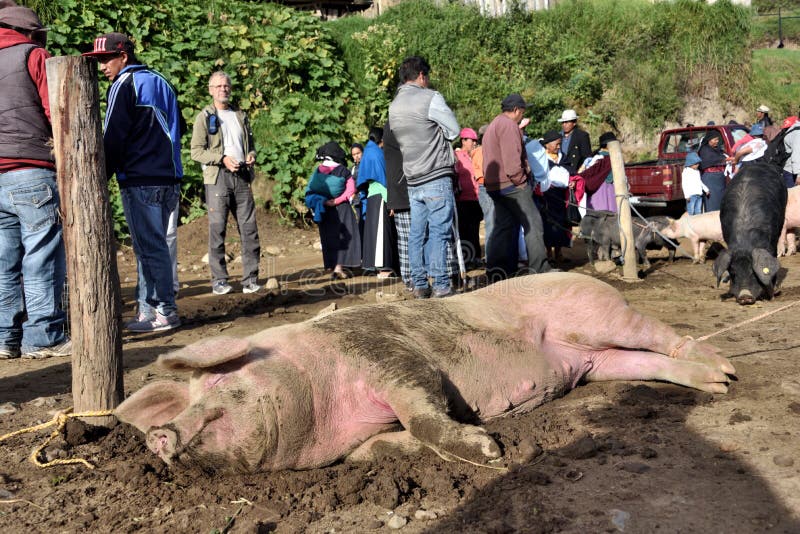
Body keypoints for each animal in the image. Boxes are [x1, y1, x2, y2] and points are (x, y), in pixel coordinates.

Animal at [115, 274, 736, 476]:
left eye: (219, 384)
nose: (158, 437)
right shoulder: (357, 440)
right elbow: (384, 449)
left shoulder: (394, 358)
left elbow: (422, 414)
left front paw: (489, 454)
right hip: (602, 362)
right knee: (649, 362)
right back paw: (715, 385)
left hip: (601, 314)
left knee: (663, 335)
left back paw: (727, 371)